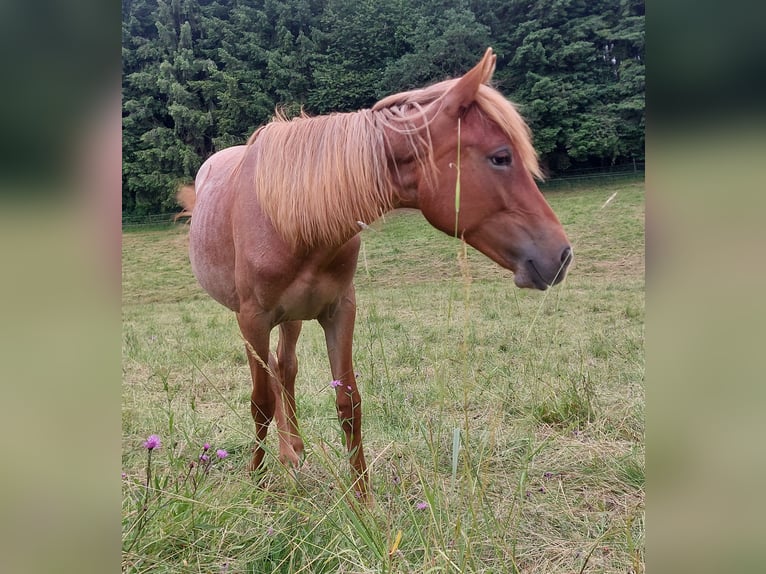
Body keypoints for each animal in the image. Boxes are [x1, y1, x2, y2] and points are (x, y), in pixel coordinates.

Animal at [180, 48, 572, 500]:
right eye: (501, 157)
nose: (561, 254)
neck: (292, 217)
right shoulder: (253, 319)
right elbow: (259, 402)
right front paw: (256, 483)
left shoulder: (339, 311)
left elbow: (348, 403)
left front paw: (363, 498)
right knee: (273, 378)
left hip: (292, 318)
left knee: (285, 369)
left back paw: (293, 449)